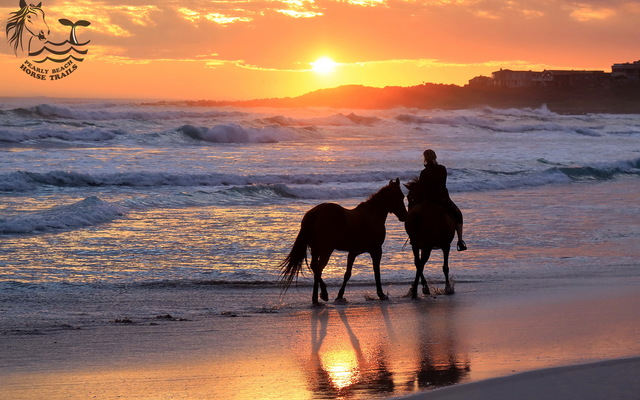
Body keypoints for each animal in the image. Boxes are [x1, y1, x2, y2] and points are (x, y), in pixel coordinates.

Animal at [279, 179, 408, 305]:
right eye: (401, 196)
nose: (404, 216)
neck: (372, 215)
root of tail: (314, 213)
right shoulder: (376, 250)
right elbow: (376, 272)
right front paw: (381, 294)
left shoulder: (353, 252)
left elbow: (347, 274)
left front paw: (340, 295)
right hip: (326, 250)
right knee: (318, 268)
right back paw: (323, 294)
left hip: (316, 250)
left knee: (315, 268)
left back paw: (316, 297)